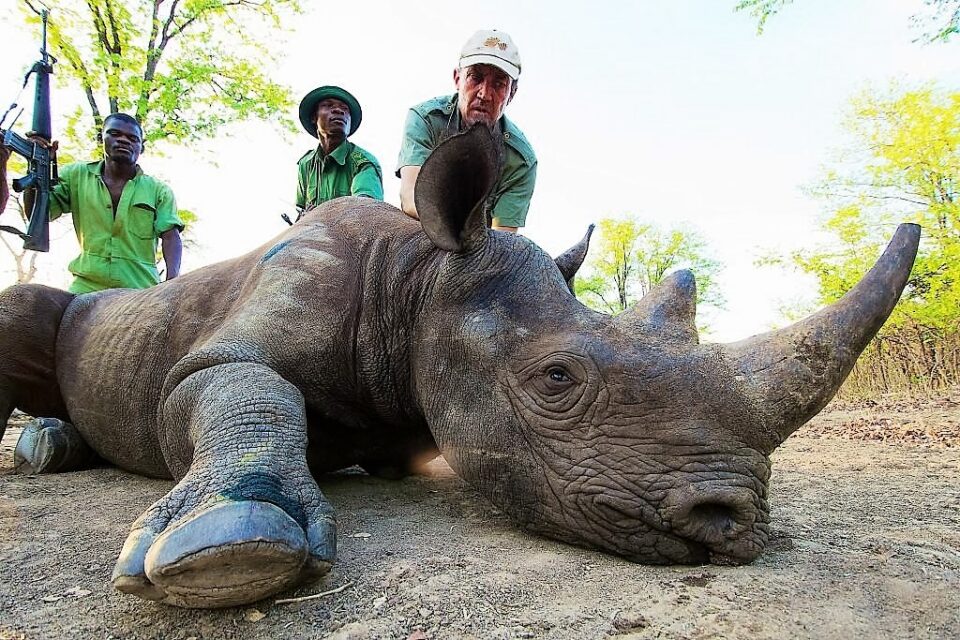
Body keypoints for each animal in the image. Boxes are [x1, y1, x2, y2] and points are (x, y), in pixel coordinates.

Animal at [0, 127, 919, 608]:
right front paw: (230, 545)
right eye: (556, 381)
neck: (419, 276)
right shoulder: (218, 351)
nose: (736, 522)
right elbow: (239, 383)